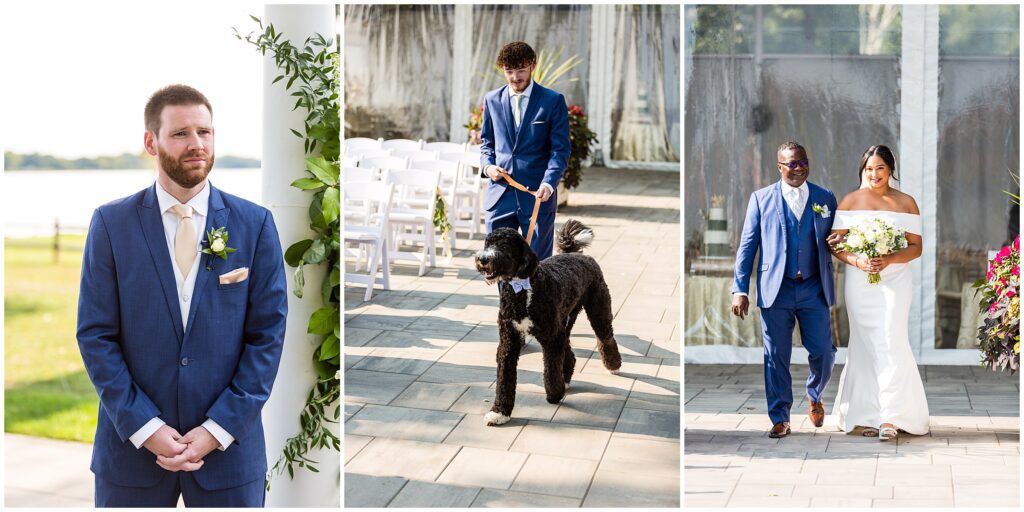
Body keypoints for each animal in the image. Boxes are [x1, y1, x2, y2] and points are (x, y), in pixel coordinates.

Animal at [473, 220, 622, 423]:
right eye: (487, 244)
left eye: (503, 246)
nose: (483, 259)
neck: (523, 290)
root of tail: (575, 254)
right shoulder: (509, 340)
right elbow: (504, 378)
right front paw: (500, 412)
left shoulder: (551, 337)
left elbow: (551, 369)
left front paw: (554, 393)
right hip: (564, 320)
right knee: (568, 348)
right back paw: (566, 376)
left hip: (597, 309)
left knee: (605, 337)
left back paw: (613, 365)